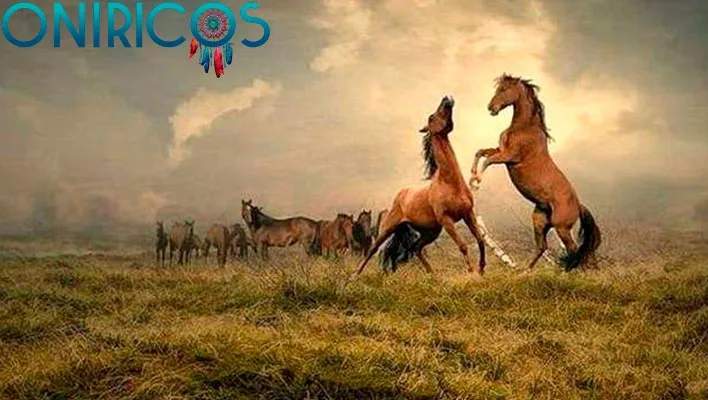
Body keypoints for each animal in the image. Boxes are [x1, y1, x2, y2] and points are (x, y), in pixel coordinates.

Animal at [357, 95, 486, 275]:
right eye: (431, 117)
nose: (447, 98)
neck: (450, 183)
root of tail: (400, 195)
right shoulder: (446, 219)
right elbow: (463, 245)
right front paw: (472, 273)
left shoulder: (468, 213)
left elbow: (480, 240)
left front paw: (481, 270)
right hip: (389, 227)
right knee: (374, 249)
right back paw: (355, 275)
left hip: (430, 231)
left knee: (415, 248)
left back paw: (433, 275)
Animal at [470, 74, 602, 271]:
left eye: (503, 89)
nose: (491, 108)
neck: (524, 127)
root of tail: (578, 206)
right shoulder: (500, 150)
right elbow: (480, 152)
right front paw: (472, 177)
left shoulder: (510, 155)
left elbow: (487, 161)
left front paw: (477, 181)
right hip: (540, 220)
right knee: (543, 246)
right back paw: (526, 271)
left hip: (561, 227)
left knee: (572, 249)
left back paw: (567, 272)